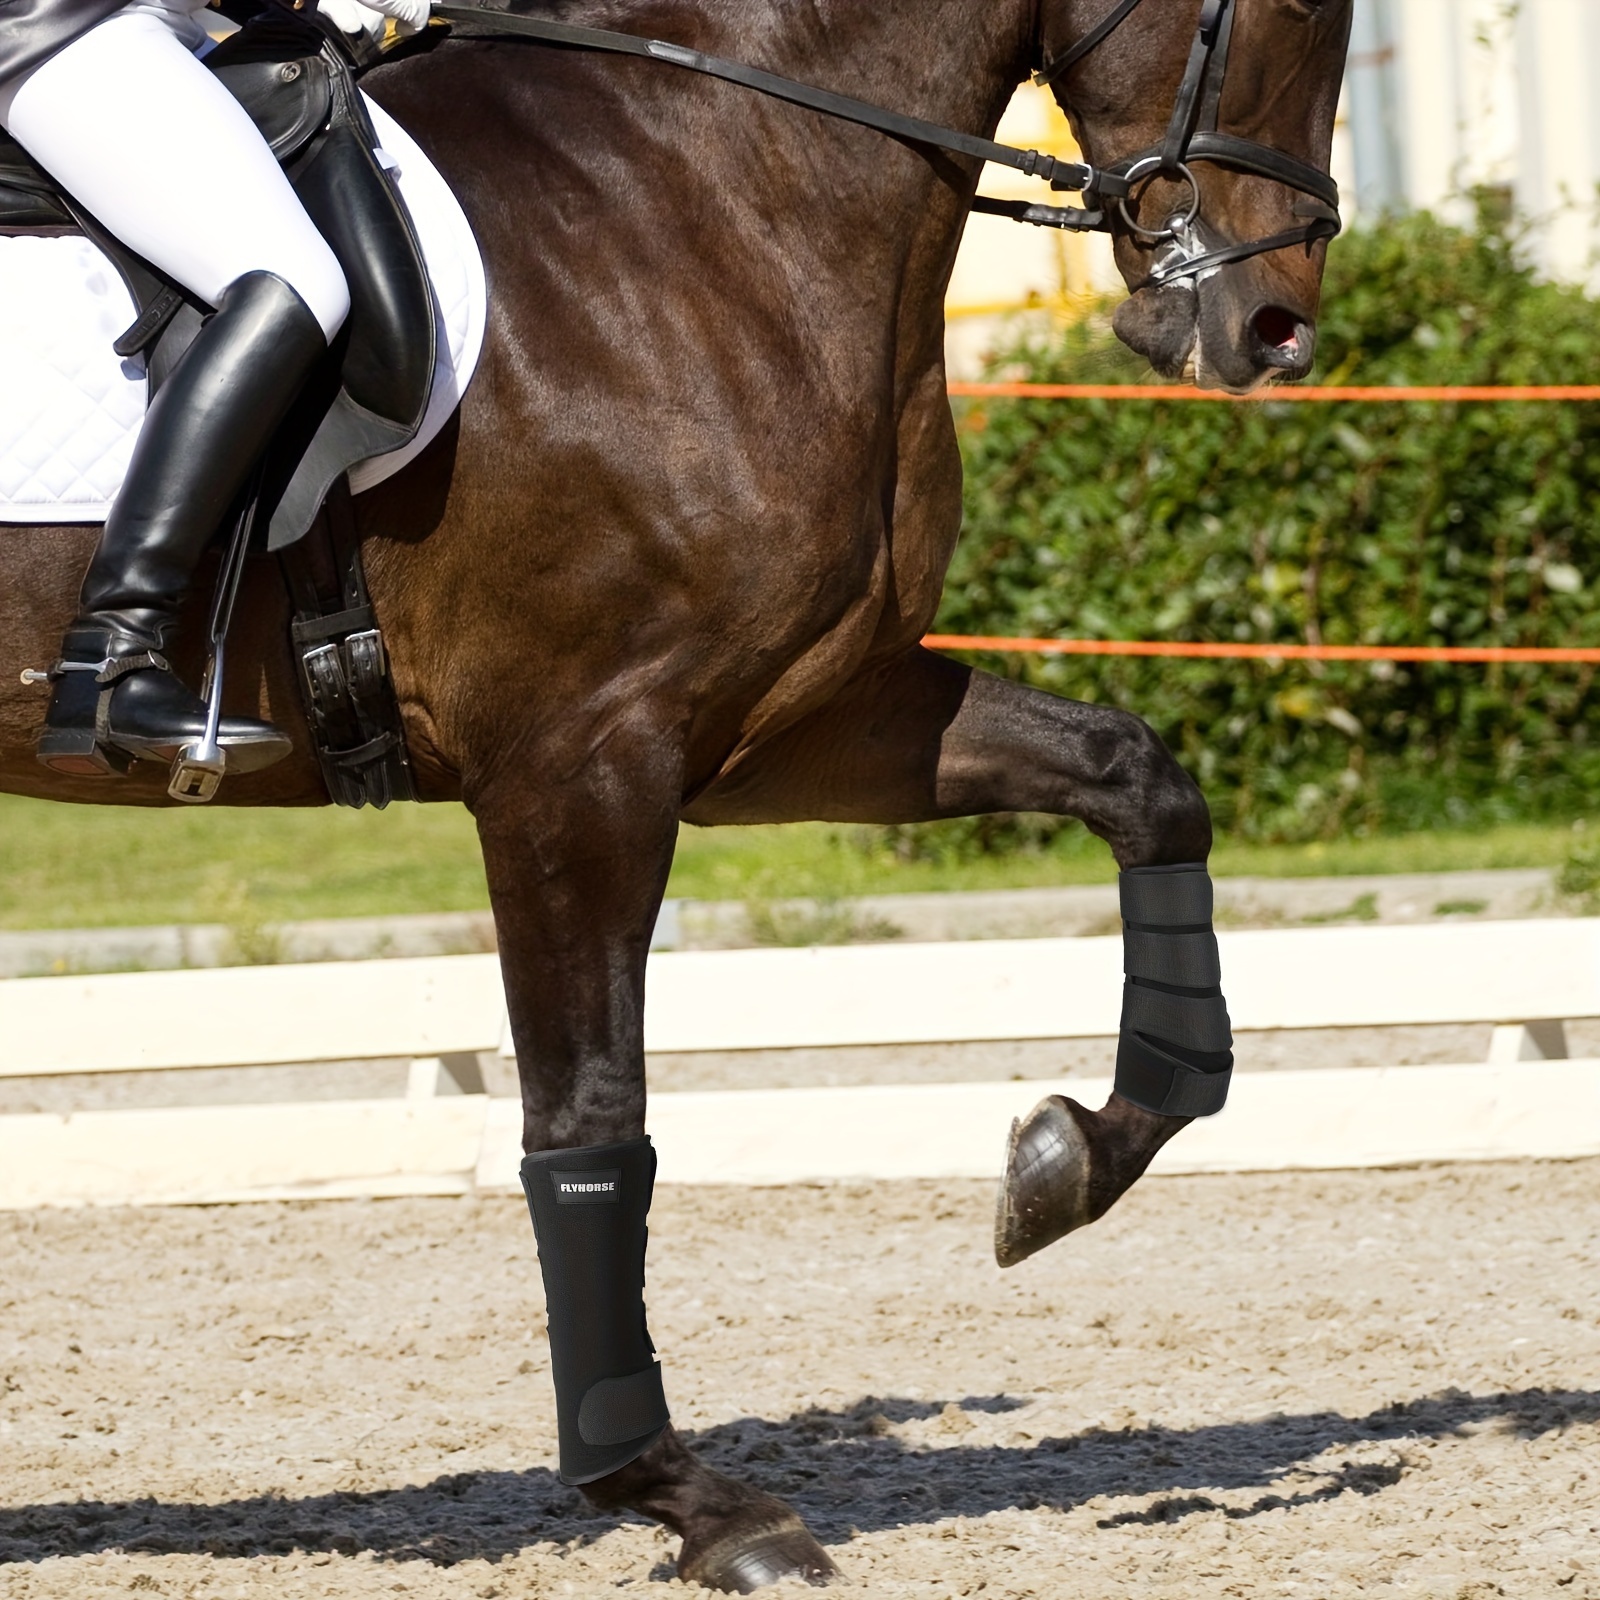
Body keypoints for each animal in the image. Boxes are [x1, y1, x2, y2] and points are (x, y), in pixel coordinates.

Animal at [0, 0, 1350, 1587]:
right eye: (1297, 13)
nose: (1273, 327)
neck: (704, 182)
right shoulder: (581, 764)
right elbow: (588, 1120)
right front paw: (676, 1492)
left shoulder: (798, 722)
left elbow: (1140, 780)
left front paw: (1070, 1159)